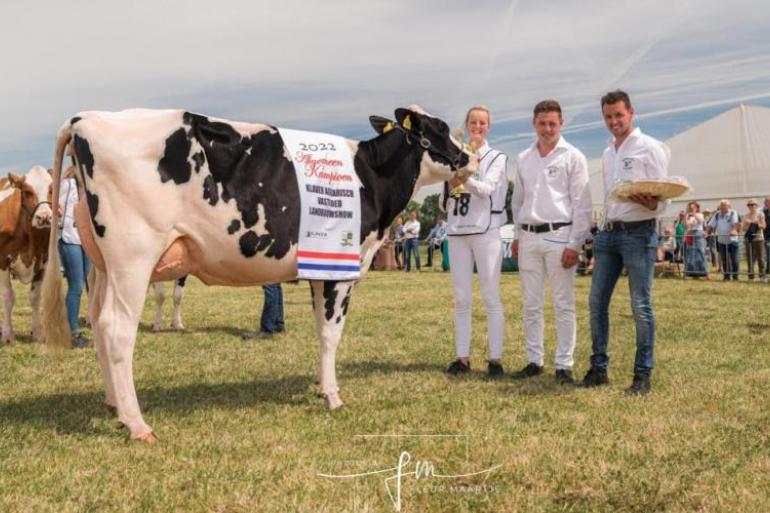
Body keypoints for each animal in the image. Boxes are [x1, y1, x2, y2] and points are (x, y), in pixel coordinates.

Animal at [0, 166, 53, 342]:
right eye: (27, 191)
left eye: (51, 189)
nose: (44, 217)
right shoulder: (2, 261)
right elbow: (8, 297)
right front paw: (7, 334)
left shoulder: (44, 262)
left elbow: (35, 297)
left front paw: (37, 333)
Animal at [43, 104, 474, 440]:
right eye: (439, 129)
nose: (468, 157)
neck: (368, 174)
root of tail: (86, 119)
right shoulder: (342, 266)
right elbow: (331, 334)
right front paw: (334, 396)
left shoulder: (320, 266)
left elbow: (320, 331)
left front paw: (321, 387)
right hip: (133, 254)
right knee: (117, 328)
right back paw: (136, 423)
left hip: (102, 264)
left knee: (98, 321)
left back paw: (114, 404)